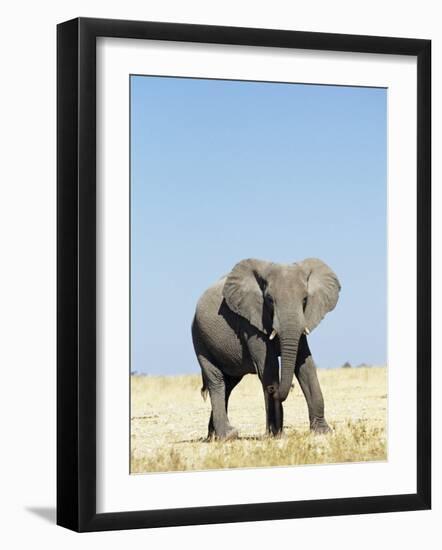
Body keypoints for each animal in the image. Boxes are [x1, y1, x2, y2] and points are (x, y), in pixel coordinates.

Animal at [191, 258, 342, 440]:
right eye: (269, 299)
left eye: (305, 299)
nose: (272, 389)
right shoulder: (250, 323)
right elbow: (269, 367)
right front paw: (276, 435)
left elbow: (306, 366)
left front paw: (323, 431)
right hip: (200, 338)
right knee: (216, 380)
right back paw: (227, 436)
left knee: (229, 384)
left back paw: (213, 436)